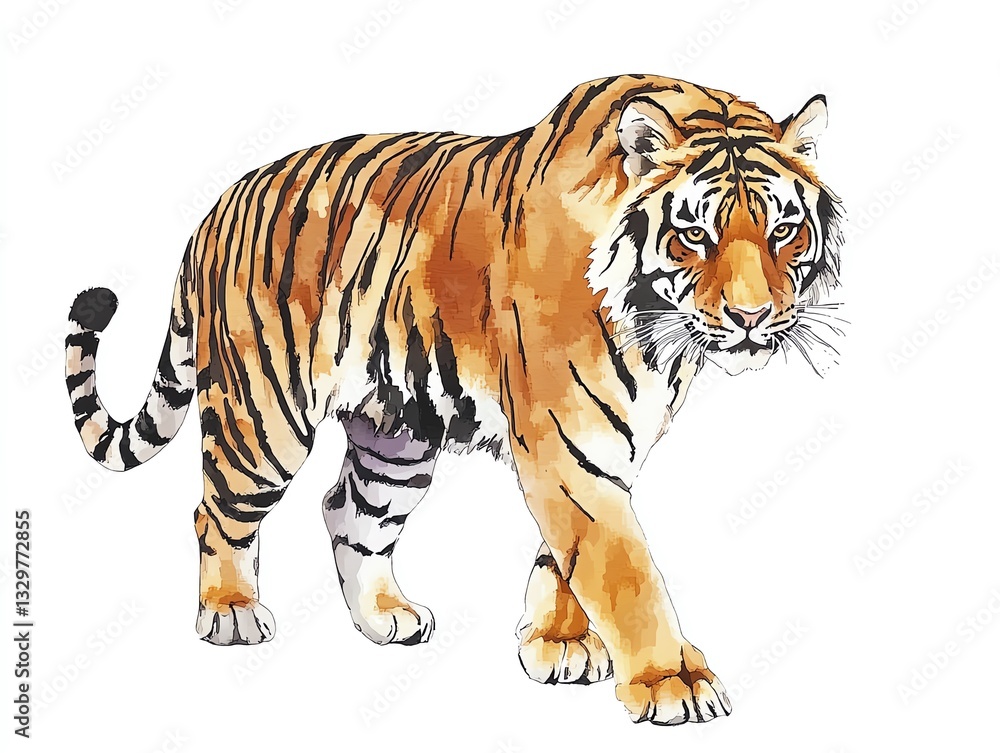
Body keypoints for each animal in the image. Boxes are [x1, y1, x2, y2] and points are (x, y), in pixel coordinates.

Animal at [65, 73, 843, 726]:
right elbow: (623, 568)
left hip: (397, 436)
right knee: (217, 511)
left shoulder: (603, 447)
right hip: (264, 415)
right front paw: (671, 682)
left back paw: (386, 617)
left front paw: (557, 644)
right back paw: (230, 613)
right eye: (693, 235)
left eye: (783, 230)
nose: (751, 317)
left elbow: (566, 557)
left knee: (348, 510)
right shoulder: (566, 443)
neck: (658, 334)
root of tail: (213, 211)